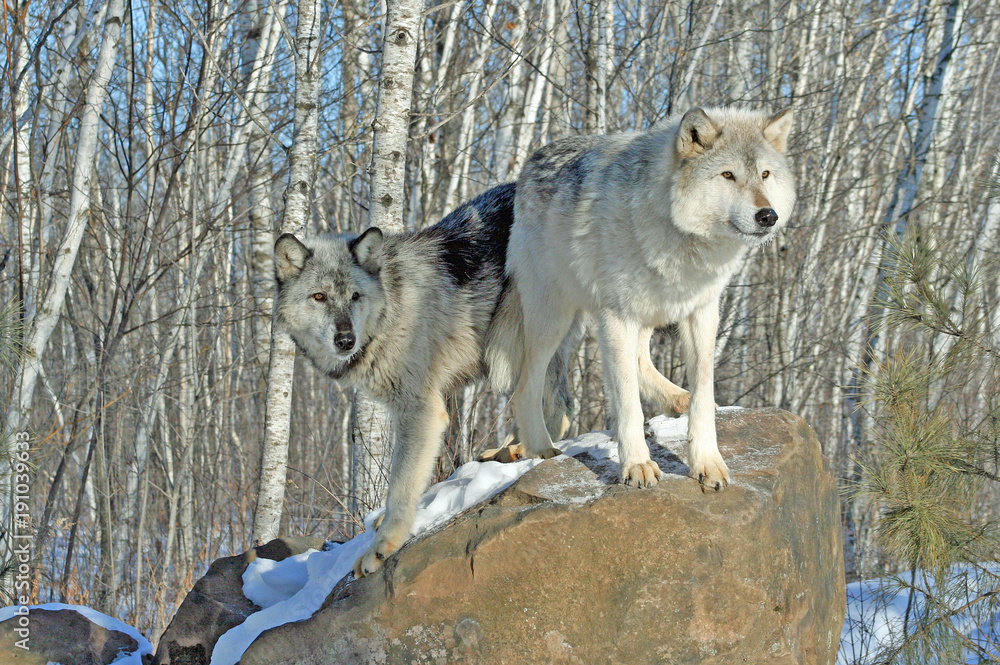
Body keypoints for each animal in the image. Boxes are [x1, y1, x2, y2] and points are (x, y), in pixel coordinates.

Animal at [273, 183, 567, 578]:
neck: (390, 311)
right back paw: (511, 449)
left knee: (555, 407)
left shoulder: (421, 412)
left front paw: (383, 546)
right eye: (319, 297)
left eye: (355, 296)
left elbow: (401, 485)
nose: (346, 340)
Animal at [505, 106, 795, 491]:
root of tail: (533, 159)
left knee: (642, 361)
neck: (678, 234)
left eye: (764, 174)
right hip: (555, 317)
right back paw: (541, 448)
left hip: (643, 314)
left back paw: (677, 398)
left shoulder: (702, 312)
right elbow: (628, 402)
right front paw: (637, 465)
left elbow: (703, 393)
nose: (768, 216)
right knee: (525, 388)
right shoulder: (618, 315)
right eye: (728, 175)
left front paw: (707, 463)